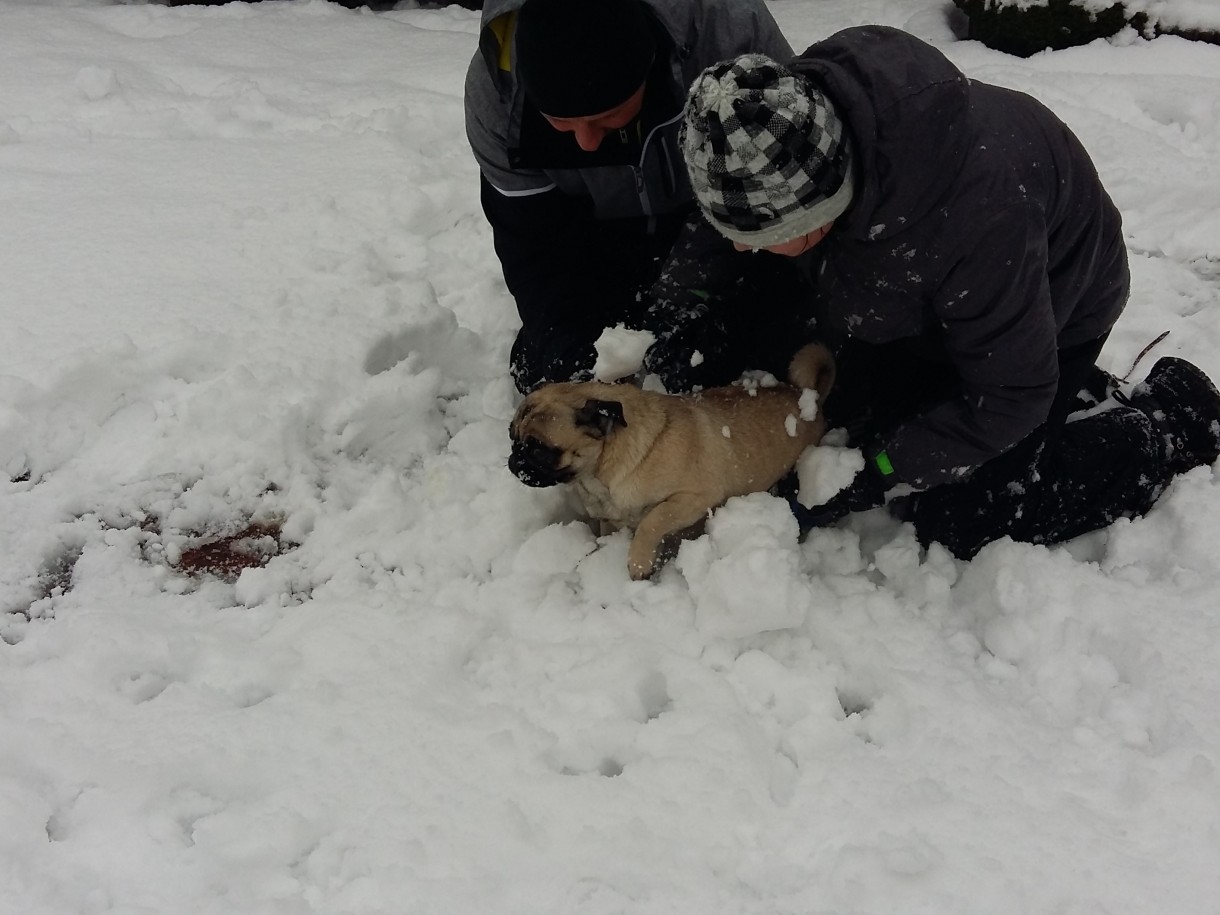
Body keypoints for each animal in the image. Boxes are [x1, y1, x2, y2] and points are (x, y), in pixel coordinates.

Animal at [507, 341, 839, 583]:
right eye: (512, 435)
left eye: (539, 449)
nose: (514, 459)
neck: (599, 473)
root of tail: (806, 396)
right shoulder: (609, 518)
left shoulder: (693, 499)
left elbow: (651, 523)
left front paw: (638, 562)